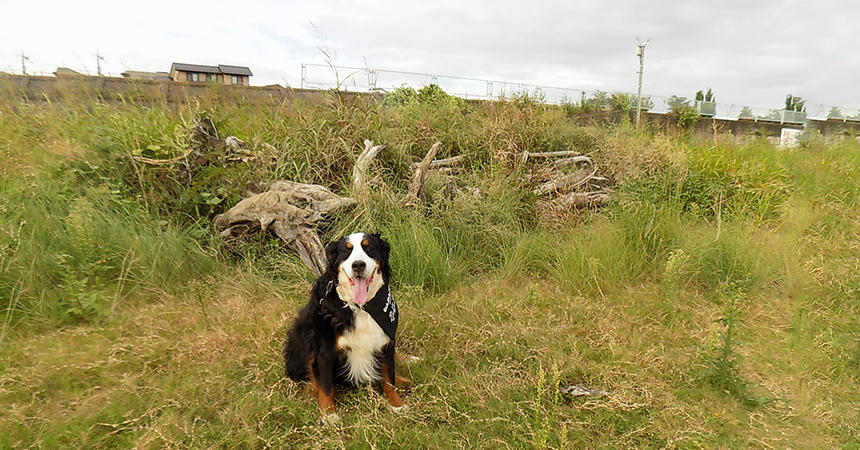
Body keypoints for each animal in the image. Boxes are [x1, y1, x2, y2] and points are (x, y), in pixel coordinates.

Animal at [284, 232, 408, 422]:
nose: (358, 265)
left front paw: (397, 405)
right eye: (346, 251)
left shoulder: (385, 342)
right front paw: (329, 415)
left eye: (369, 248)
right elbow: (326, 386)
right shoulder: (325, 351)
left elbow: (389, 378)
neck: (360, 307)